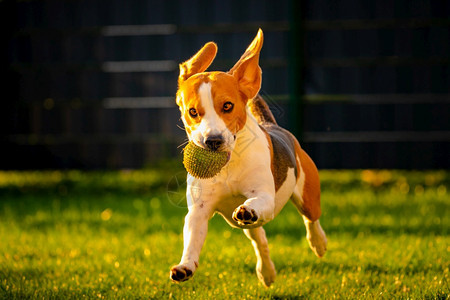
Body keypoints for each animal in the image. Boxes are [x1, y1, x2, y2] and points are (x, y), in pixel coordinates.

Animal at [170, 29, 326, 288]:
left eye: (228, 106)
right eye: (192, 112)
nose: (213, 140)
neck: (229, 165)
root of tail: (271, 124)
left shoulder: (264, 197)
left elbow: (256, 202)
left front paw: (249, 209)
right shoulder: (199, 211)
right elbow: (192, 239)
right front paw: (185, 266)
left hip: (307, 196)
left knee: (311, 219)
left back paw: (319, 243)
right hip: (248, 228)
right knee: (260, 240)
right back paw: (267, 272)